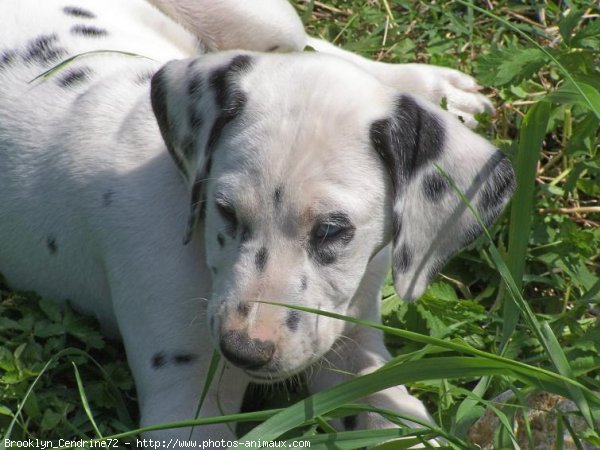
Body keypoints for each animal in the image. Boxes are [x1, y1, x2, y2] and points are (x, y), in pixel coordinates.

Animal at [0, 0, 516, 444]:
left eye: (333, 231)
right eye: (225, 210)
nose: (244, 350)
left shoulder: (353, 345)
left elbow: (394, 410)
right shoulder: (186, 406)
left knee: (307, 45)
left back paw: (435, 89)